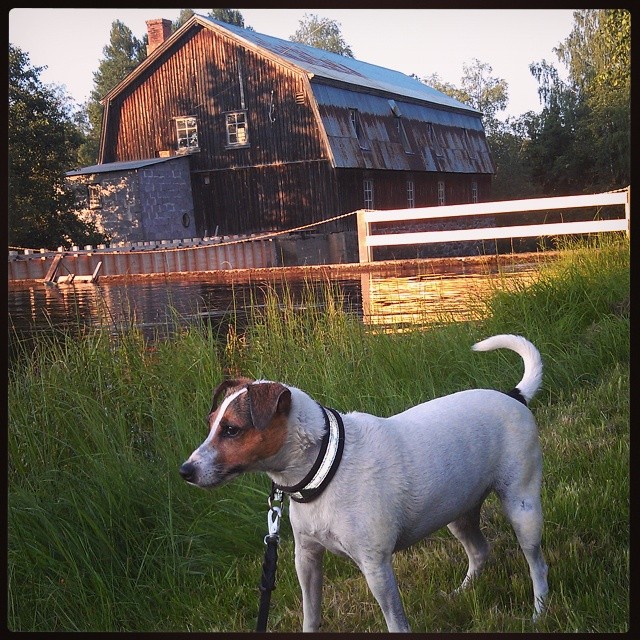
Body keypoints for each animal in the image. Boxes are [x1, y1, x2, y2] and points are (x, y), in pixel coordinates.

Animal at [181, 332, 552, 632]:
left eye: (231, 429)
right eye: (211, 423)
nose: (185, 471)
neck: (325, 464)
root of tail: (514, 395)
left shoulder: (376, 568)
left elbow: (396, 623)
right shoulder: (307, 558)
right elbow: (311, 615)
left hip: (523, 508)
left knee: (537, 564)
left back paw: (539, 611)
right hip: (458, 511)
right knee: (479, 550)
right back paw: (462, 592)